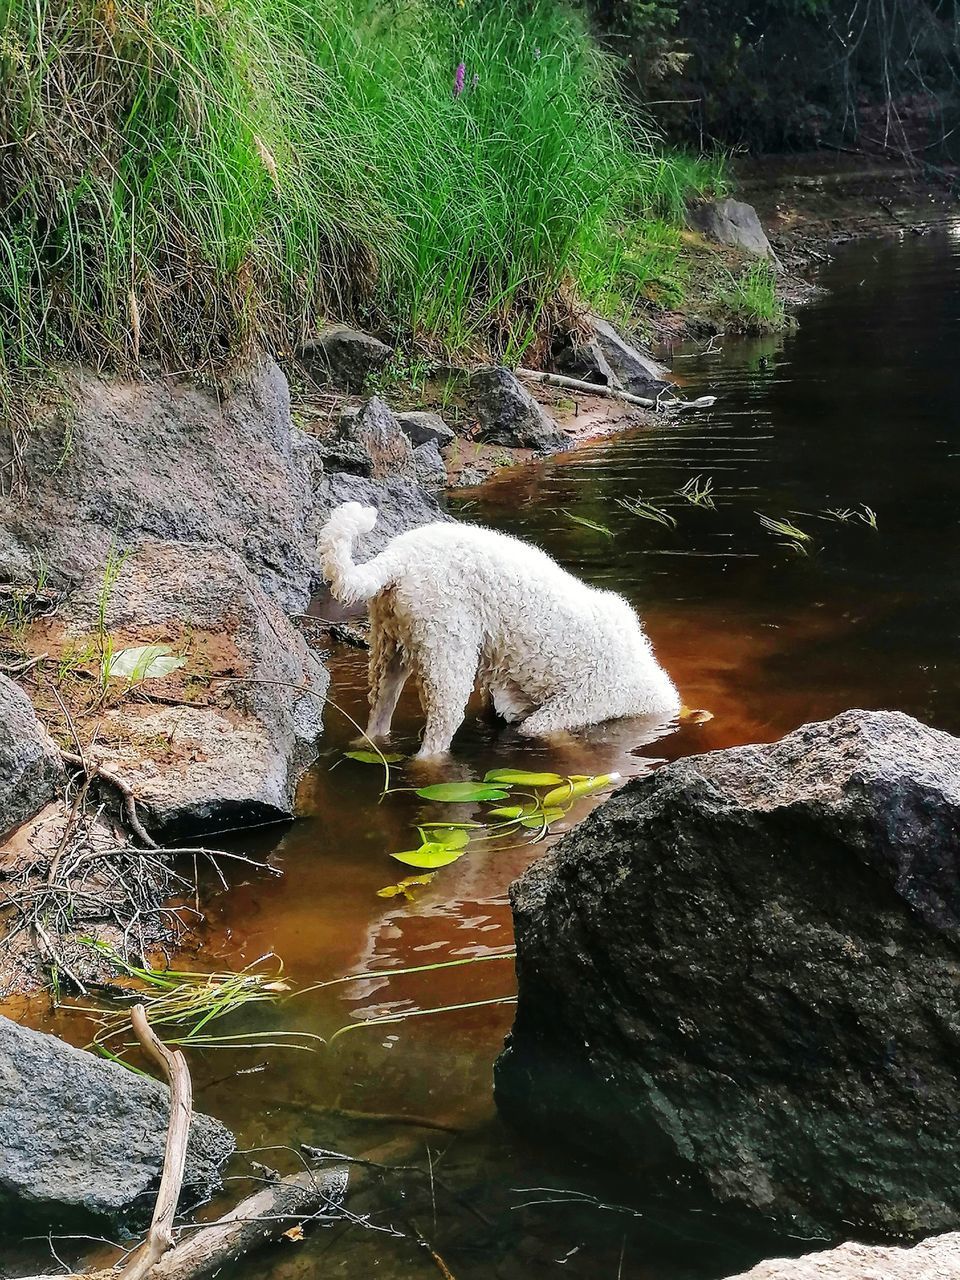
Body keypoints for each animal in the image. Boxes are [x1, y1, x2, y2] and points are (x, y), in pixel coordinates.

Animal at [323, 501, 686, 757]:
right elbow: (552, 734)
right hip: (446, 654)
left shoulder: (504, 700)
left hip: (388, 649)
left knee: (377, 719)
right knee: (433, 744)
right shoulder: (565, 711)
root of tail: (399, 556)